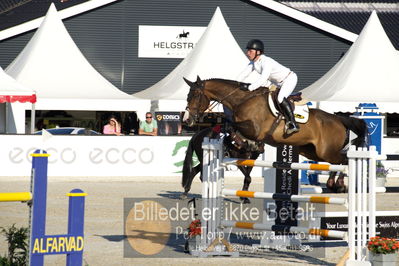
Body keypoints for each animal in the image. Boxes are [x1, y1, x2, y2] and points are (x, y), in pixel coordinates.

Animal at [183, 76, 370, 192]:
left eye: (194, 96)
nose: (187, 120)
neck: (242, 100)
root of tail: (338, 118)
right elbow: (230, 127)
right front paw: (238, 141)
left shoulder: (254, 129)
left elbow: (230, 125)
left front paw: (239, 141)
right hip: (313, 152)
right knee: (338, 162)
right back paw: (334, 184)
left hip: (326, 151)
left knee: (343, 160)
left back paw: (338, 184)